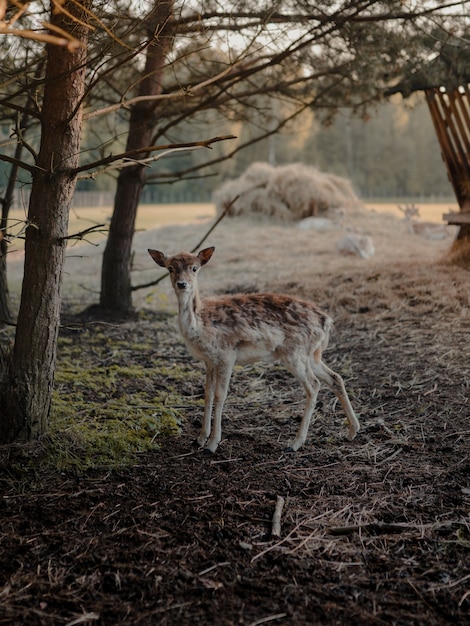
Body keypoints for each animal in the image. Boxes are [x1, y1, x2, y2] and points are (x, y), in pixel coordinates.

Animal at [148, 245, 360, 454]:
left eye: (194, 268)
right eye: (170, 268)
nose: (182, 284)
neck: (200, 324)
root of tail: (327, 321)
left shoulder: (227, 355)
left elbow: (220, 395)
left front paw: (212, 444)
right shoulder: (209, 360)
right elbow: (207, 393)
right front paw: (199, 439)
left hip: (295, 352)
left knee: (314, 384)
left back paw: (294, 444)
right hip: (312, 354)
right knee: (335, 377)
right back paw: (352, 431)